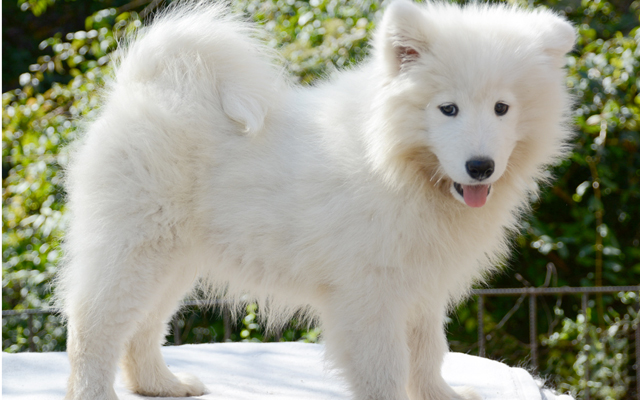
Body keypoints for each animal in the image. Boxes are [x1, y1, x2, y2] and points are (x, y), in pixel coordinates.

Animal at [57, 1, 576, 398]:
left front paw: (442, 396)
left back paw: (160, 385)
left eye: (502, 108)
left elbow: (428, 355)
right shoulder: (370, 293)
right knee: (94, 327)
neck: (392, 161)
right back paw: (96, 392)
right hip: (136, 246)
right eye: (447, 109)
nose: (480, 166)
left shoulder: (419, 285)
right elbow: (386, 370)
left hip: (174, 259)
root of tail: (143, 85)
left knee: (143, 326)